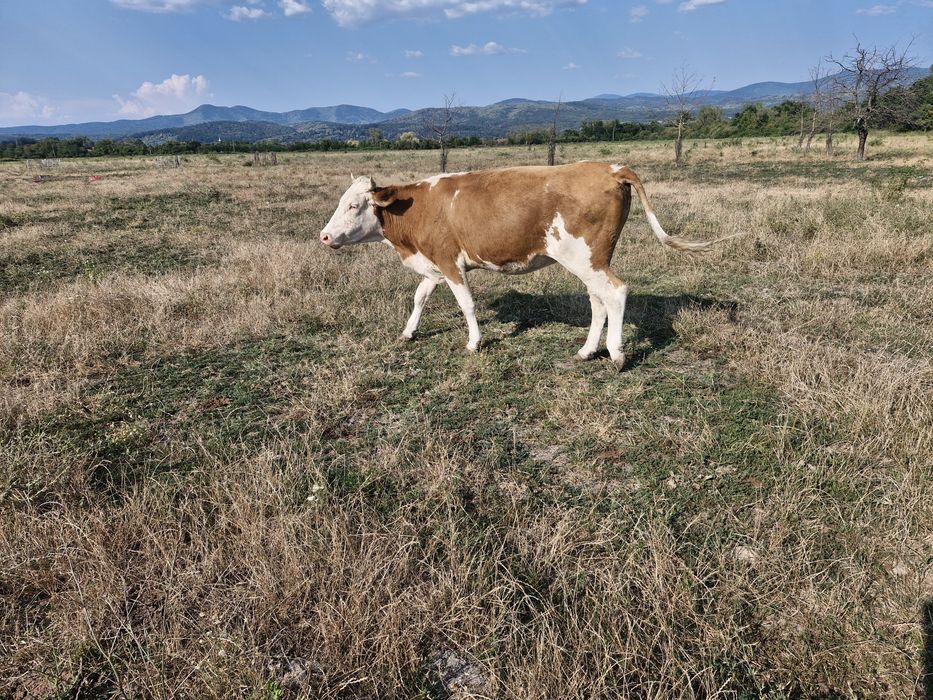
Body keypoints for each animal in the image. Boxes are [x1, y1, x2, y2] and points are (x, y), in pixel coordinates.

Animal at [320, 161, 724, 368]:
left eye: (354, 205)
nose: (324, 237)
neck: (418, 208)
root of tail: (610, 168)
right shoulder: (434, 264)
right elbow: (420, 297)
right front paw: (408, 332)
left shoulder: (450, 263)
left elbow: (466, 304)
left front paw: (474, 342)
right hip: (591, 259)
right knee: (598, 301)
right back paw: (587, 350)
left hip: (584, 257)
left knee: (616, 292)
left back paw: (616, 354)